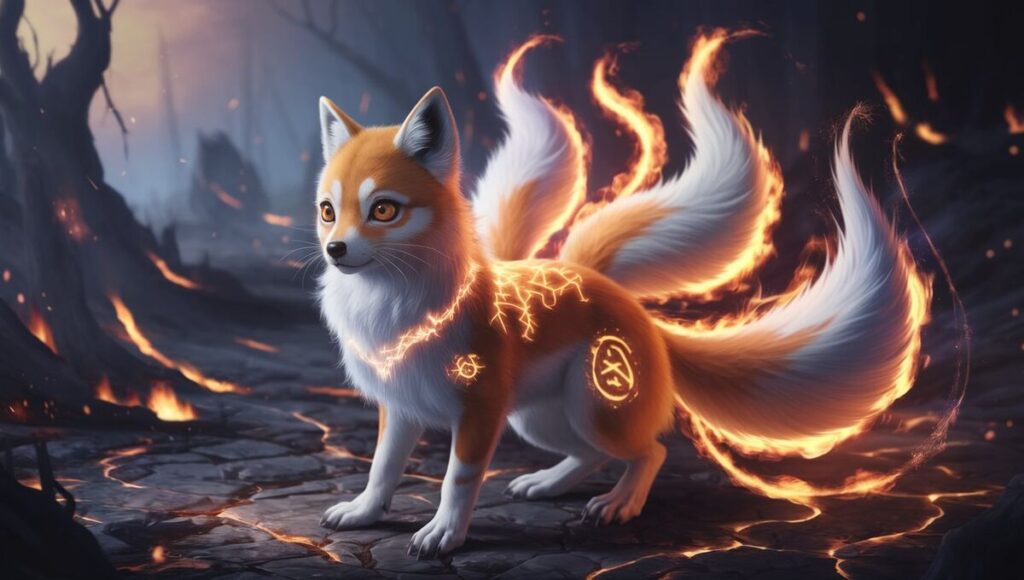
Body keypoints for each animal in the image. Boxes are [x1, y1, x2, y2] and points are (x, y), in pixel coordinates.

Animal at [314, 30, 925, 558]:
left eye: (384, 210)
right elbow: (382, 468)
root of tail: (628, 304)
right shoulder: (401, 405)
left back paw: (621, 502)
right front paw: (364, 513)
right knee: (589, 453)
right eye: (328, 210)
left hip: (591, 407)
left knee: (651, 449)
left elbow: (457, 479)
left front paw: (445, 533)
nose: (335, 250)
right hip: (539, 417)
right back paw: (548, 483)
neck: (396, 304)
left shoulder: (480, 411)